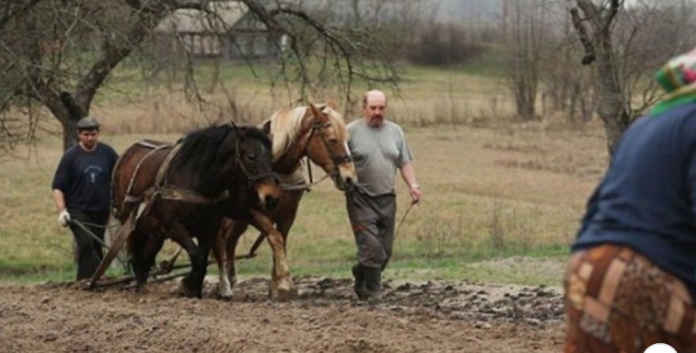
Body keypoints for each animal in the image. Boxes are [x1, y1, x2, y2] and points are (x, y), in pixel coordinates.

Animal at [111, 124, 280, 296]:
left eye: (271, 156)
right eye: (251, 156)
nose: (271, 196)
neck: (197, 179)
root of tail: (126, 155)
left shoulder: (208, 228)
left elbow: (203, 258)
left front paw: (195, 290)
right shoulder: (175, 227)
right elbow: (197, 257)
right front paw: (187, 286)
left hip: (154, 230)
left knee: (147, 256)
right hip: (131, 222)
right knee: (135, 255)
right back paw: (140, 286)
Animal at [213, 103, 356, 298]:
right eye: (332, 140)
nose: (350, 178)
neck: (276, 167)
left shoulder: (288, 213)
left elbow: (281, 241)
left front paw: (276, 285)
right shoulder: (252, 211)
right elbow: (275, 238)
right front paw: (285, 283)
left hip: (239, 220)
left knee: (230, 239)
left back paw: (231, 278)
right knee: (220, 240)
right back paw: (221, 284)